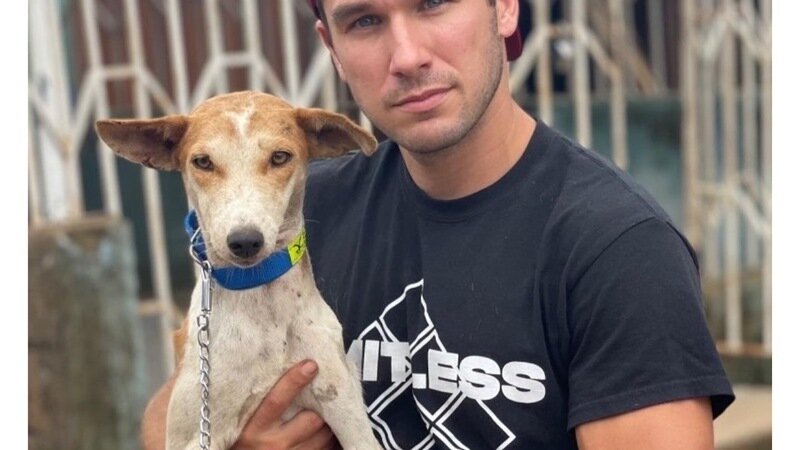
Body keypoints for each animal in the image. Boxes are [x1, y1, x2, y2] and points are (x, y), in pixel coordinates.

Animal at [95, 91, 381, 450]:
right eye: (203, 162)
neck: (261, 300)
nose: (245, 241)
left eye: (280, 157)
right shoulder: (194, 434)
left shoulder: (346, 407)